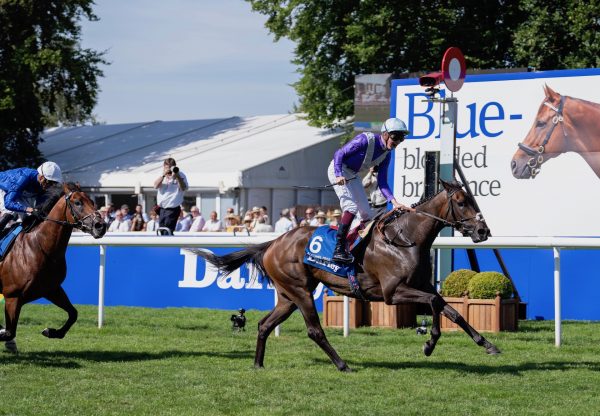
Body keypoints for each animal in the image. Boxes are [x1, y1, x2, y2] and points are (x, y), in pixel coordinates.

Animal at [0, 182, 106, 352]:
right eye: (78, 203)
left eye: (92, 201)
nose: (100, 226)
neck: (39, 247)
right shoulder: (12, 296)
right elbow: (9, 332)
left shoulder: (51, 289)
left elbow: (73, 313)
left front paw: (51, 331)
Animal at [197, 180, 496, 370]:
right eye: (461, 201)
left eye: (473, 199)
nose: (483, 231)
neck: (405, 239)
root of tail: (273, 243)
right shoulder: (392, 292)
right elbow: (435, 305)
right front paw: (430, 343)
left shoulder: (424, 285)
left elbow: (452, 311)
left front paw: (487, 344)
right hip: (300, 292)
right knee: (315, 331)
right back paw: (342, 364)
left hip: (287, 296)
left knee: (264, 325)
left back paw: (258, 364)